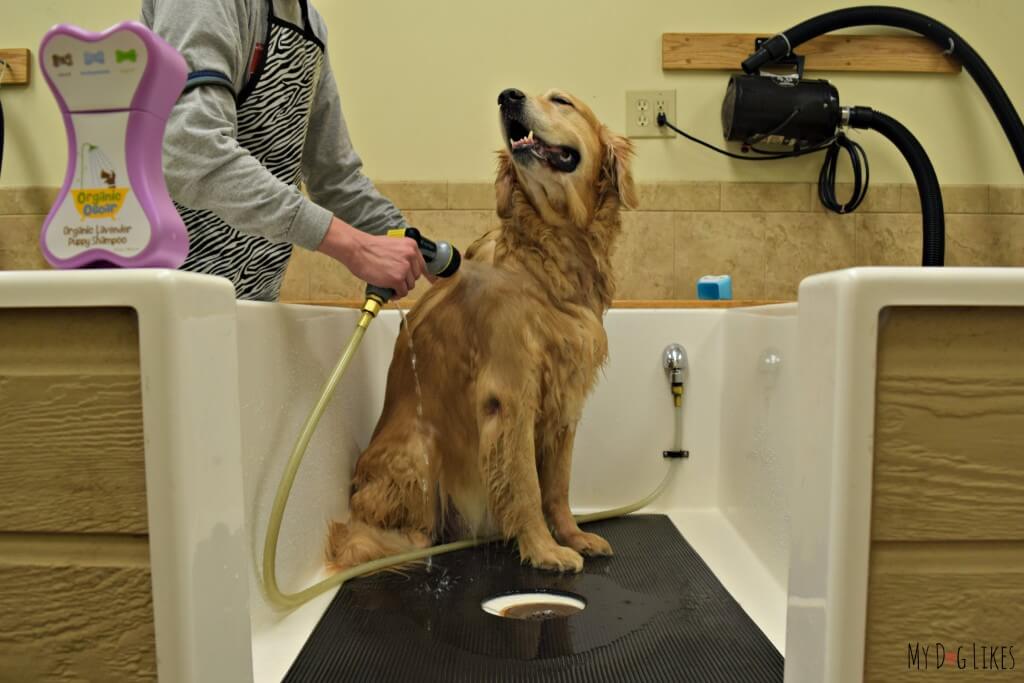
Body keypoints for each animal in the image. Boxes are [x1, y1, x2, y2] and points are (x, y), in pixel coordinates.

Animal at [325, 88, 630, 573]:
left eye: (561, 100)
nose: (509, 96)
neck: (549, 256)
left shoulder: (565, 401)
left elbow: (558, 487)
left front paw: (573, 536)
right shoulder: (510, 398)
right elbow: (527, 488)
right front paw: (544, 549)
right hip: (421, 452)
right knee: (373, 534)